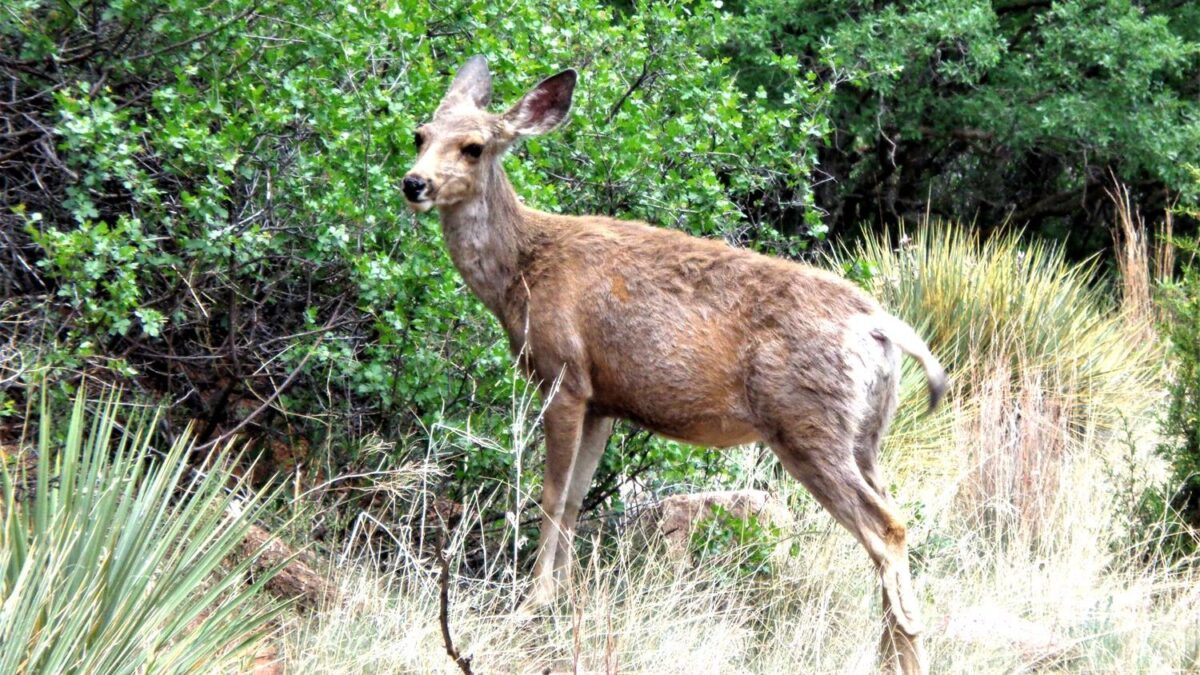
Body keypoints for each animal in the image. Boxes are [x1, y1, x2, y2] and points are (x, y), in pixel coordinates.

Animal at [402, 56, 947, 675]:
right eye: (420, 134)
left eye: (473, 147)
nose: (413, 182)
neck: (523, 270)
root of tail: (881, 326)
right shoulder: (603, 400)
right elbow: (576, 498)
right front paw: (561, 598)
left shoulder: (564, 377)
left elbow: (551, 495)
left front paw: (531, 604)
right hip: (866, 435)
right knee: (890, 523)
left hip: (807, 424)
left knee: (888, 528)